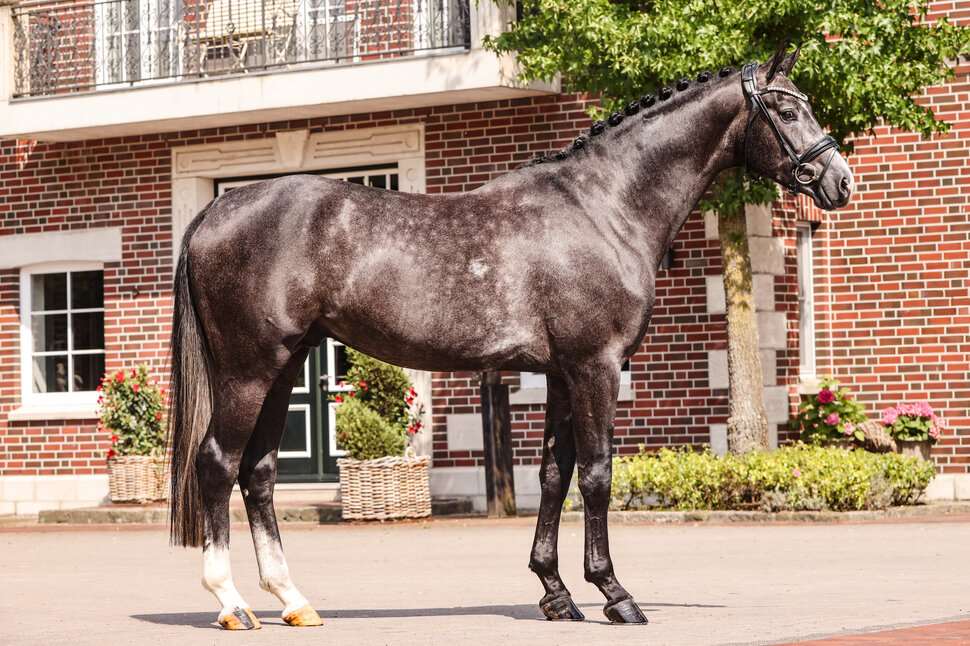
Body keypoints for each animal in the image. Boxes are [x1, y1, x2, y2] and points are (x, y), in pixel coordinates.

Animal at [167, 46, 853, 630]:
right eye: (787, 109)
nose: (839, 181)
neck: (603, 208)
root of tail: (216, 211)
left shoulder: (560, 374)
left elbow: (553, 474)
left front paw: (555, 593)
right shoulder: (596, 366)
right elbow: (597, 474)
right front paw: (615, 594)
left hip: (284, 369)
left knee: (257, 472)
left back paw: (293, 600)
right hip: (249, 371)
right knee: (217, 462)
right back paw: (231, 603)